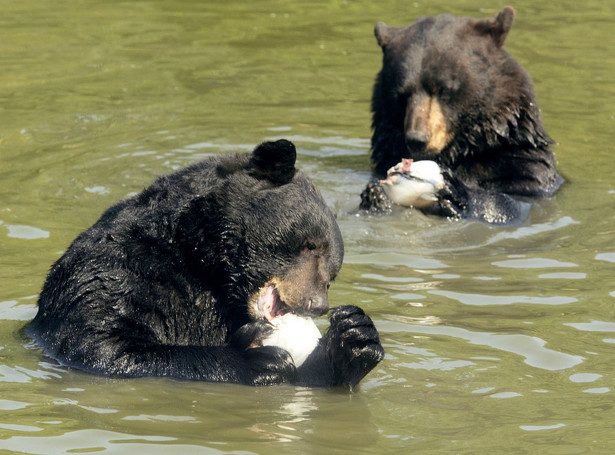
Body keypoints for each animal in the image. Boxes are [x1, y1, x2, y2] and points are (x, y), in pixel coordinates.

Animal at [30, 140, 384, 388]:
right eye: (310, 244)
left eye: (332, 271)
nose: (318, 304)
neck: (205, 263)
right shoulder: (120, 273)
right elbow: (104, 343)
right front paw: (258, 361)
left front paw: (355, 336)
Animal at [360, 7, 564, 224]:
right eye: (401, 94)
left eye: (443, 89)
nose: (417, 139)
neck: (463, 151)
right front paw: (374, 195)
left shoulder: (520, 168)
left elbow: (514, 200)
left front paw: (455, 192)